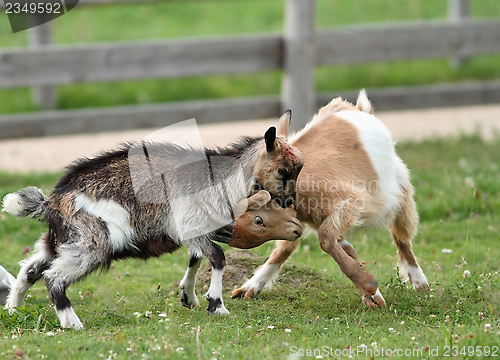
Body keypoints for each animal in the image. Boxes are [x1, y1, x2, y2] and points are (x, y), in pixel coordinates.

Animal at [232, 90, 428, 306]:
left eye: (258, 220)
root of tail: (359, 110)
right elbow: (334, 247)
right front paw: (372, 295)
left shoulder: (351, 201)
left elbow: (325, 239)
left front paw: (369, 287)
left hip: (400, 191)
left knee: (402, 237)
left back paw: (421, 284)